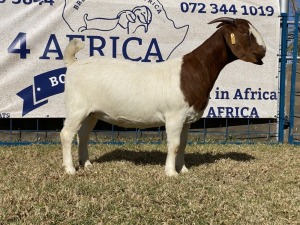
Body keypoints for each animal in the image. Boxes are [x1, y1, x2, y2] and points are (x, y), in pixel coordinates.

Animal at [60, 17, 264, 176]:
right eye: (244, 32)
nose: (263, 51)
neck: (194, 71)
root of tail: (73, 64)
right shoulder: (174, 116)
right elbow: (174, 144)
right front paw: (171, 172)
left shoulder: (187, 119)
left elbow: (183, 144)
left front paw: (183, 170)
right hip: (77, 107)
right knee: (67, 134)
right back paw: (70, 169)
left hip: (92, 112)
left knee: (83, 135)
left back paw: (87, 164)